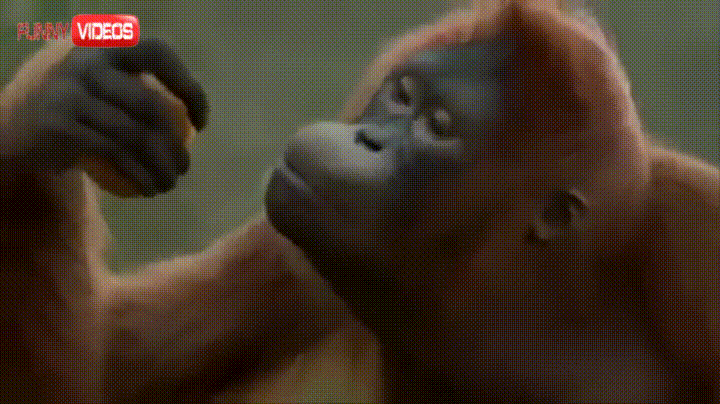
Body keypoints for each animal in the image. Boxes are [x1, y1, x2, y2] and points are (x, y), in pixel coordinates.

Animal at [1, 0, 718, 403]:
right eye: (404, 92)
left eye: (440, 126)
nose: (369, 138)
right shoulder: (300, 241)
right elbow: (111, 372)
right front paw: (58, 109)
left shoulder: (691, 251)